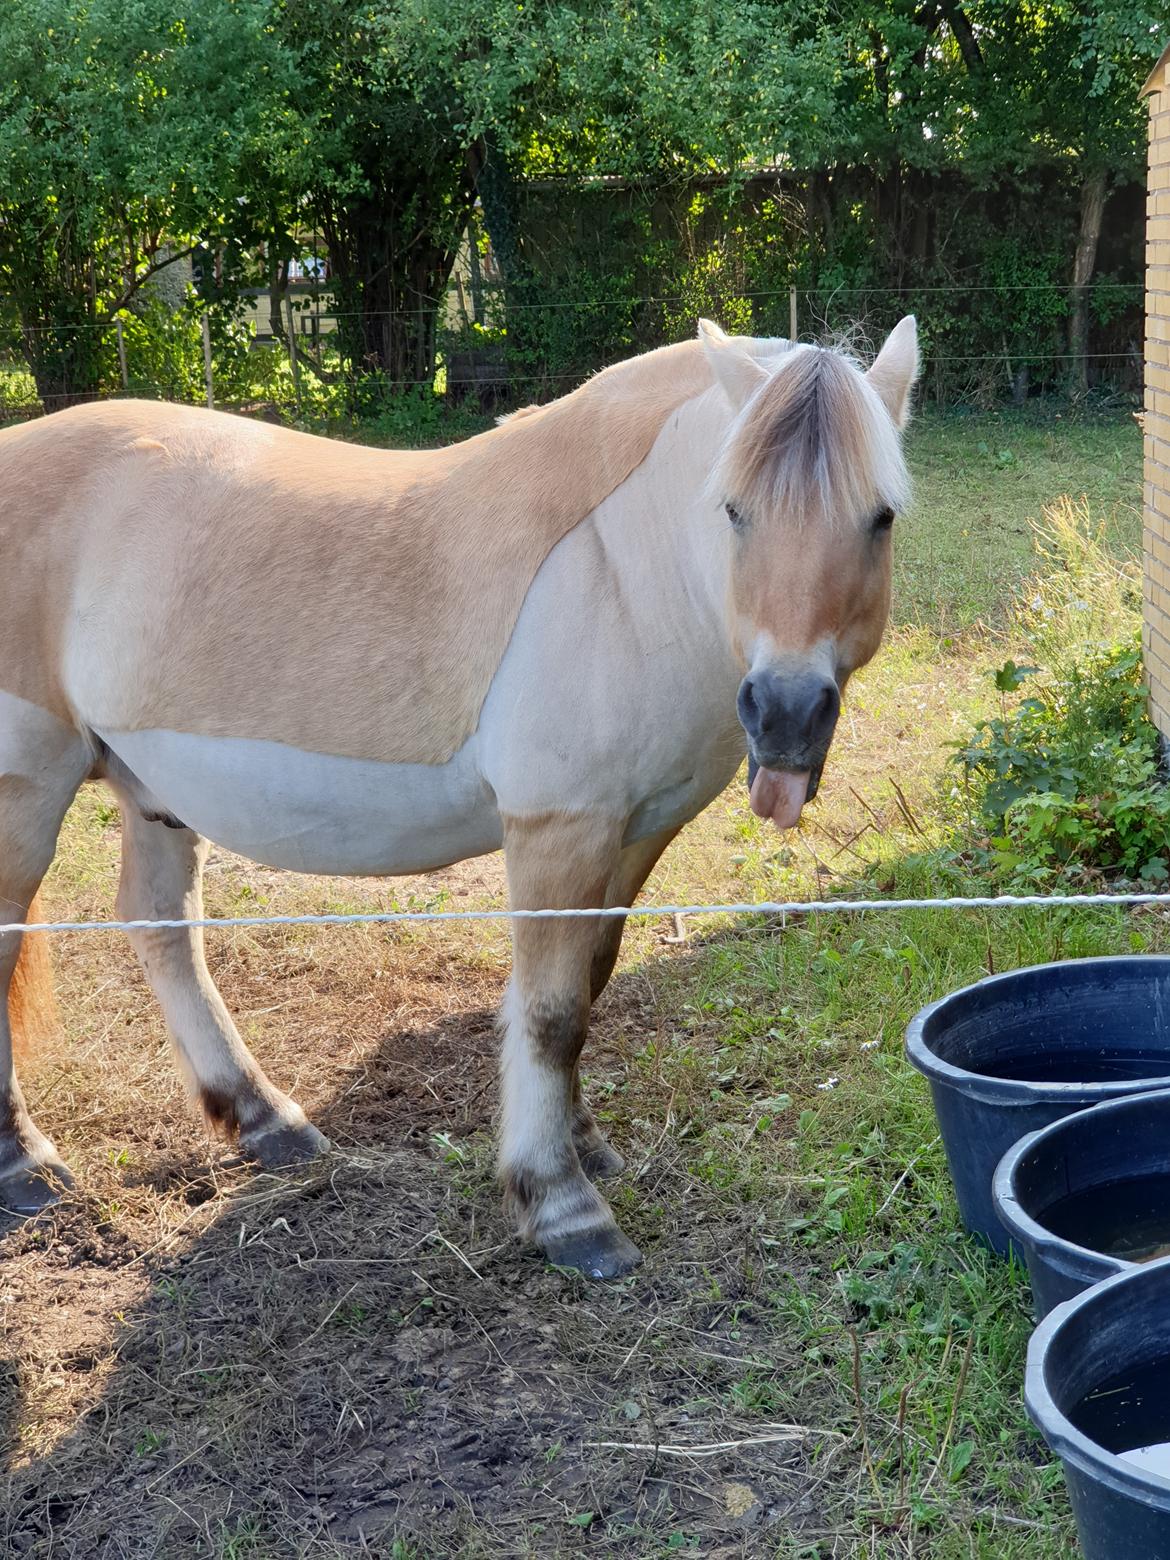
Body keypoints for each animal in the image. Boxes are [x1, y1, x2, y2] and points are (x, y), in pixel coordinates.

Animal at [0, 319, 923, 1279]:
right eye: (734, 510)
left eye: (880, 517)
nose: (785, 715)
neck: (623, 566)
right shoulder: (558, 831)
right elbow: (550, 1013)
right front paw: (562, 1206)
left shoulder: (635, 832)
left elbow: (587, 985)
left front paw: (583, 1144)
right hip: (26, 792)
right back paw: (26, 1167)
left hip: (155, 794)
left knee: (160, 926)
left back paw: (263, 1119)